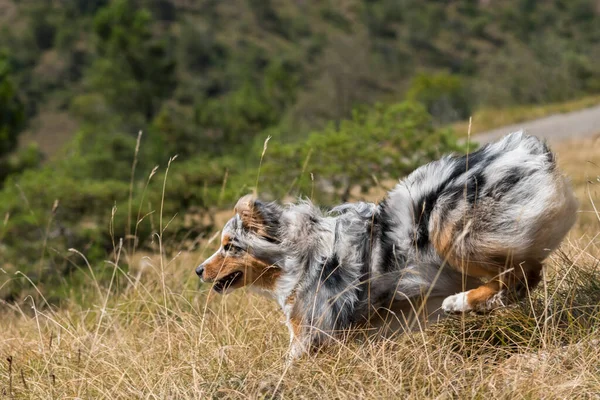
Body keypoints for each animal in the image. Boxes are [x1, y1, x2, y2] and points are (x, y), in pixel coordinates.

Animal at [196, 132, 576, 360]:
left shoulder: (313, 331)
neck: (296, 253)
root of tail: (526, 153)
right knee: (523, 278)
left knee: (516, 276)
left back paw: (461, 302)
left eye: (230, 246)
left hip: (450, 230)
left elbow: (285, 365)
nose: (198, 270)